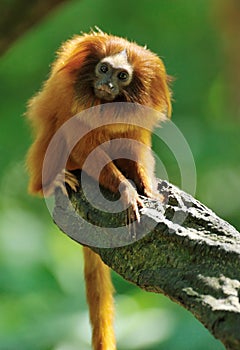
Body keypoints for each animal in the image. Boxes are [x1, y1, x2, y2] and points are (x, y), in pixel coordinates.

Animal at [26, 30, 172, 350]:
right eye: (103, 69)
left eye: (122, 76)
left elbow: (134, 144)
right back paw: (56, 181)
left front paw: (145, 187)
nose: (107, 84)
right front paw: (127, 192)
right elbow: (83, 144)